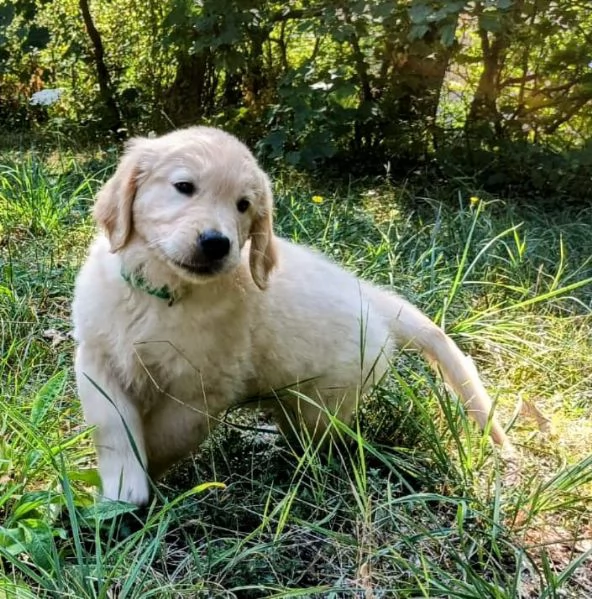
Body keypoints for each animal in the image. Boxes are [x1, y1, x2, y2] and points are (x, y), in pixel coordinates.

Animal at [71, 126, 512, 506]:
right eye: (184, 187)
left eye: (243, 206)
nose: (217, 244)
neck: (162, 294)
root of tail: (371, 297)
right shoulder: (96, 358)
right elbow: (112, 424)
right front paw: (121, 484)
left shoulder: (199, 392)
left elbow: (163, 438)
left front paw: (142, 483)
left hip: (324, 403)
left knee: (321, 439)